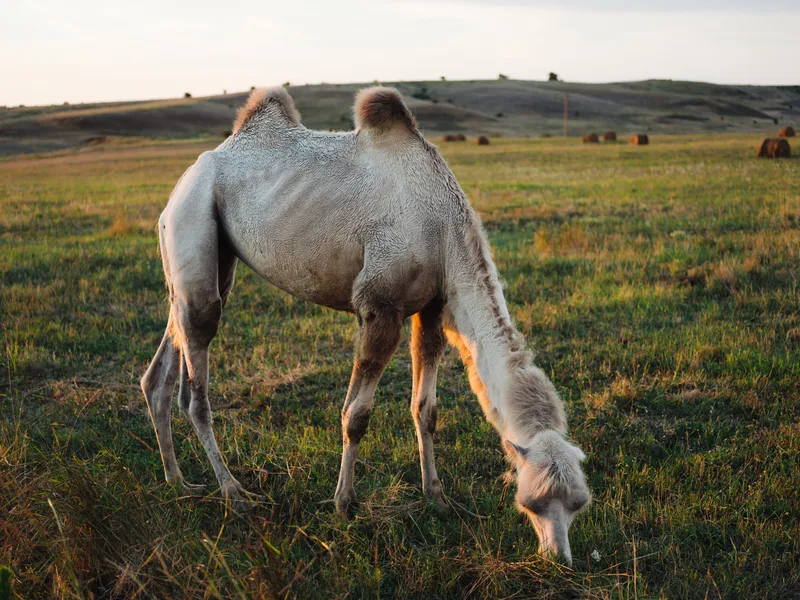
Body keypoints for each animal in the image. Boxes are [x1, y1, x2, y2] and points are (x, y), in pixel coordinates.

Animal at [141, 86, 591, 564]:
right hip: (194, 224)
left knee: (162, 365)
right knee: (196, 384)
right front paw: (344, 504)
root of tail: (186, 177)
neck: (443, 229)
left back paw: (177, 480)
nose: (559, 558)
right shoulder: (379, 306)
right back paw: (234, 493)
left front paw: (436, 497)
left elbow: (426, 409)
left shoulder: (431, 308)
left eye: (578, 504)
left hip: (205, 263)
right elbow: (356, 414)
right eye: (533, 501)